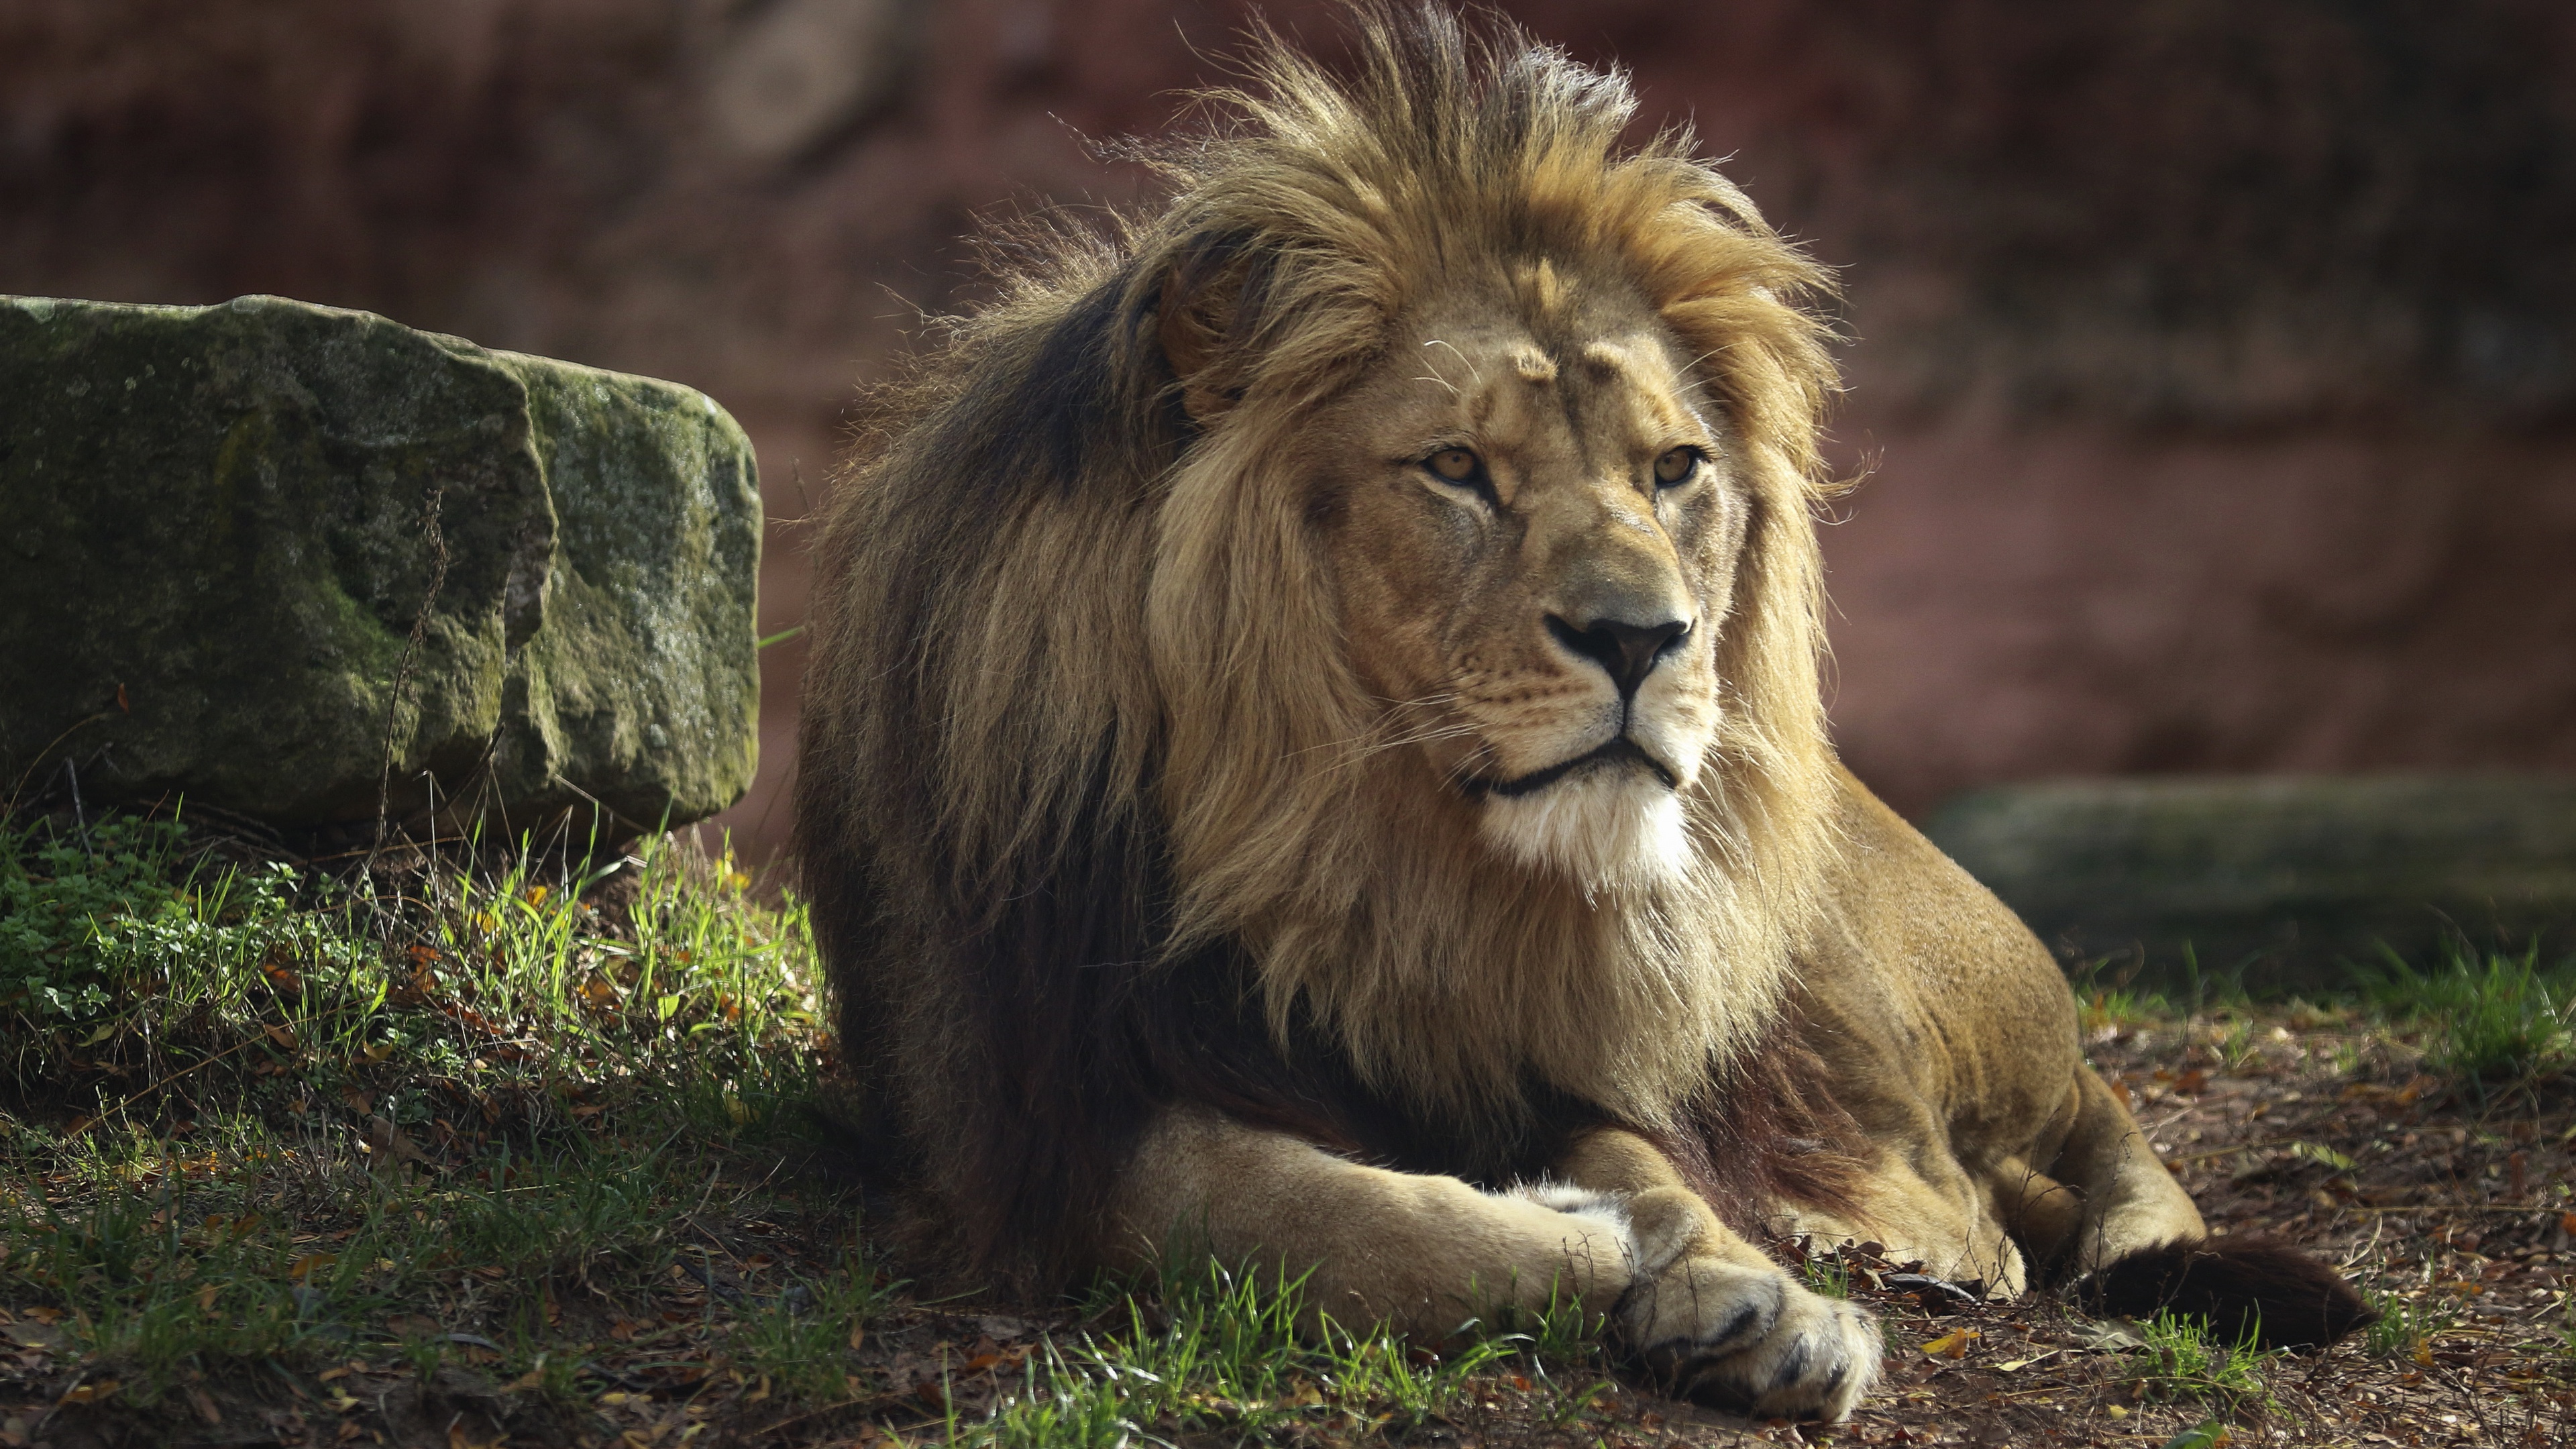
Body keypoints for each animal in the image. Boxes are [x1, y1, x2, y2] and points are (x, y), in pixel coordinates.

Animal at [788, 3, 2369, 1423]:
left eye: (1674, 469)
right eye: (1455, 469)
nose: (1642, 637)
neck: (1354, 850)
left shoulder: (1526, 1049)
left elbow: (1643, 1156)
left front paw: (1758, 1293)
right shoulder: (1027, 1120)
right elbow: (1317, 1216)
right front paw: (1608, 1253)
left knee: (2023, 1167)